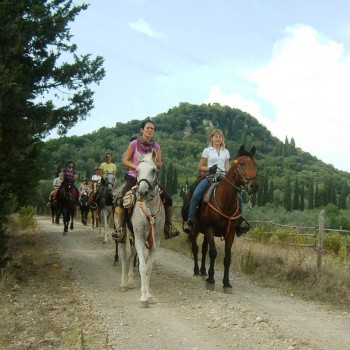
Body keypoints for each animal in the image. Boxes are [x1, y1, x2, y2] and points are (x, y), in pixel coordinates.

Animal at [119, 149, 165, 308]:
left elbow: (148, 267)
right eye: (137, 170)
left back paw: (130, 282)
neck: (150, 211)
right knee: (124, 257)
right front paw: (143, 298)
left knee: (132, 254)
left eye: (154, 170)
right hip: (123, 235)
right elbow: (143, 267)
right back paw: (124, 284)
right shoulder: (139, 238)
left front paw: (149, 295)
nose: (143, 192)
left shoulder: (154, 240)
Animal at [182, 145, 258, 292]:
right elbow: (213, 253)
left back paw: (203, 271)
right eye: (242, 163)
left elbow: (227, 258)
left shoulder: (230, 234)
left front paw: (226, 283)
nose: (254, 185)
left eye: (255, 165)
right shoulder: (210, 229)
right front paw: (211, 280)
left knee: (203, 249)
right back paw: (197, 271)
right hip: (195, 230)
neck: (225, 201)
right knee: (195, 248)